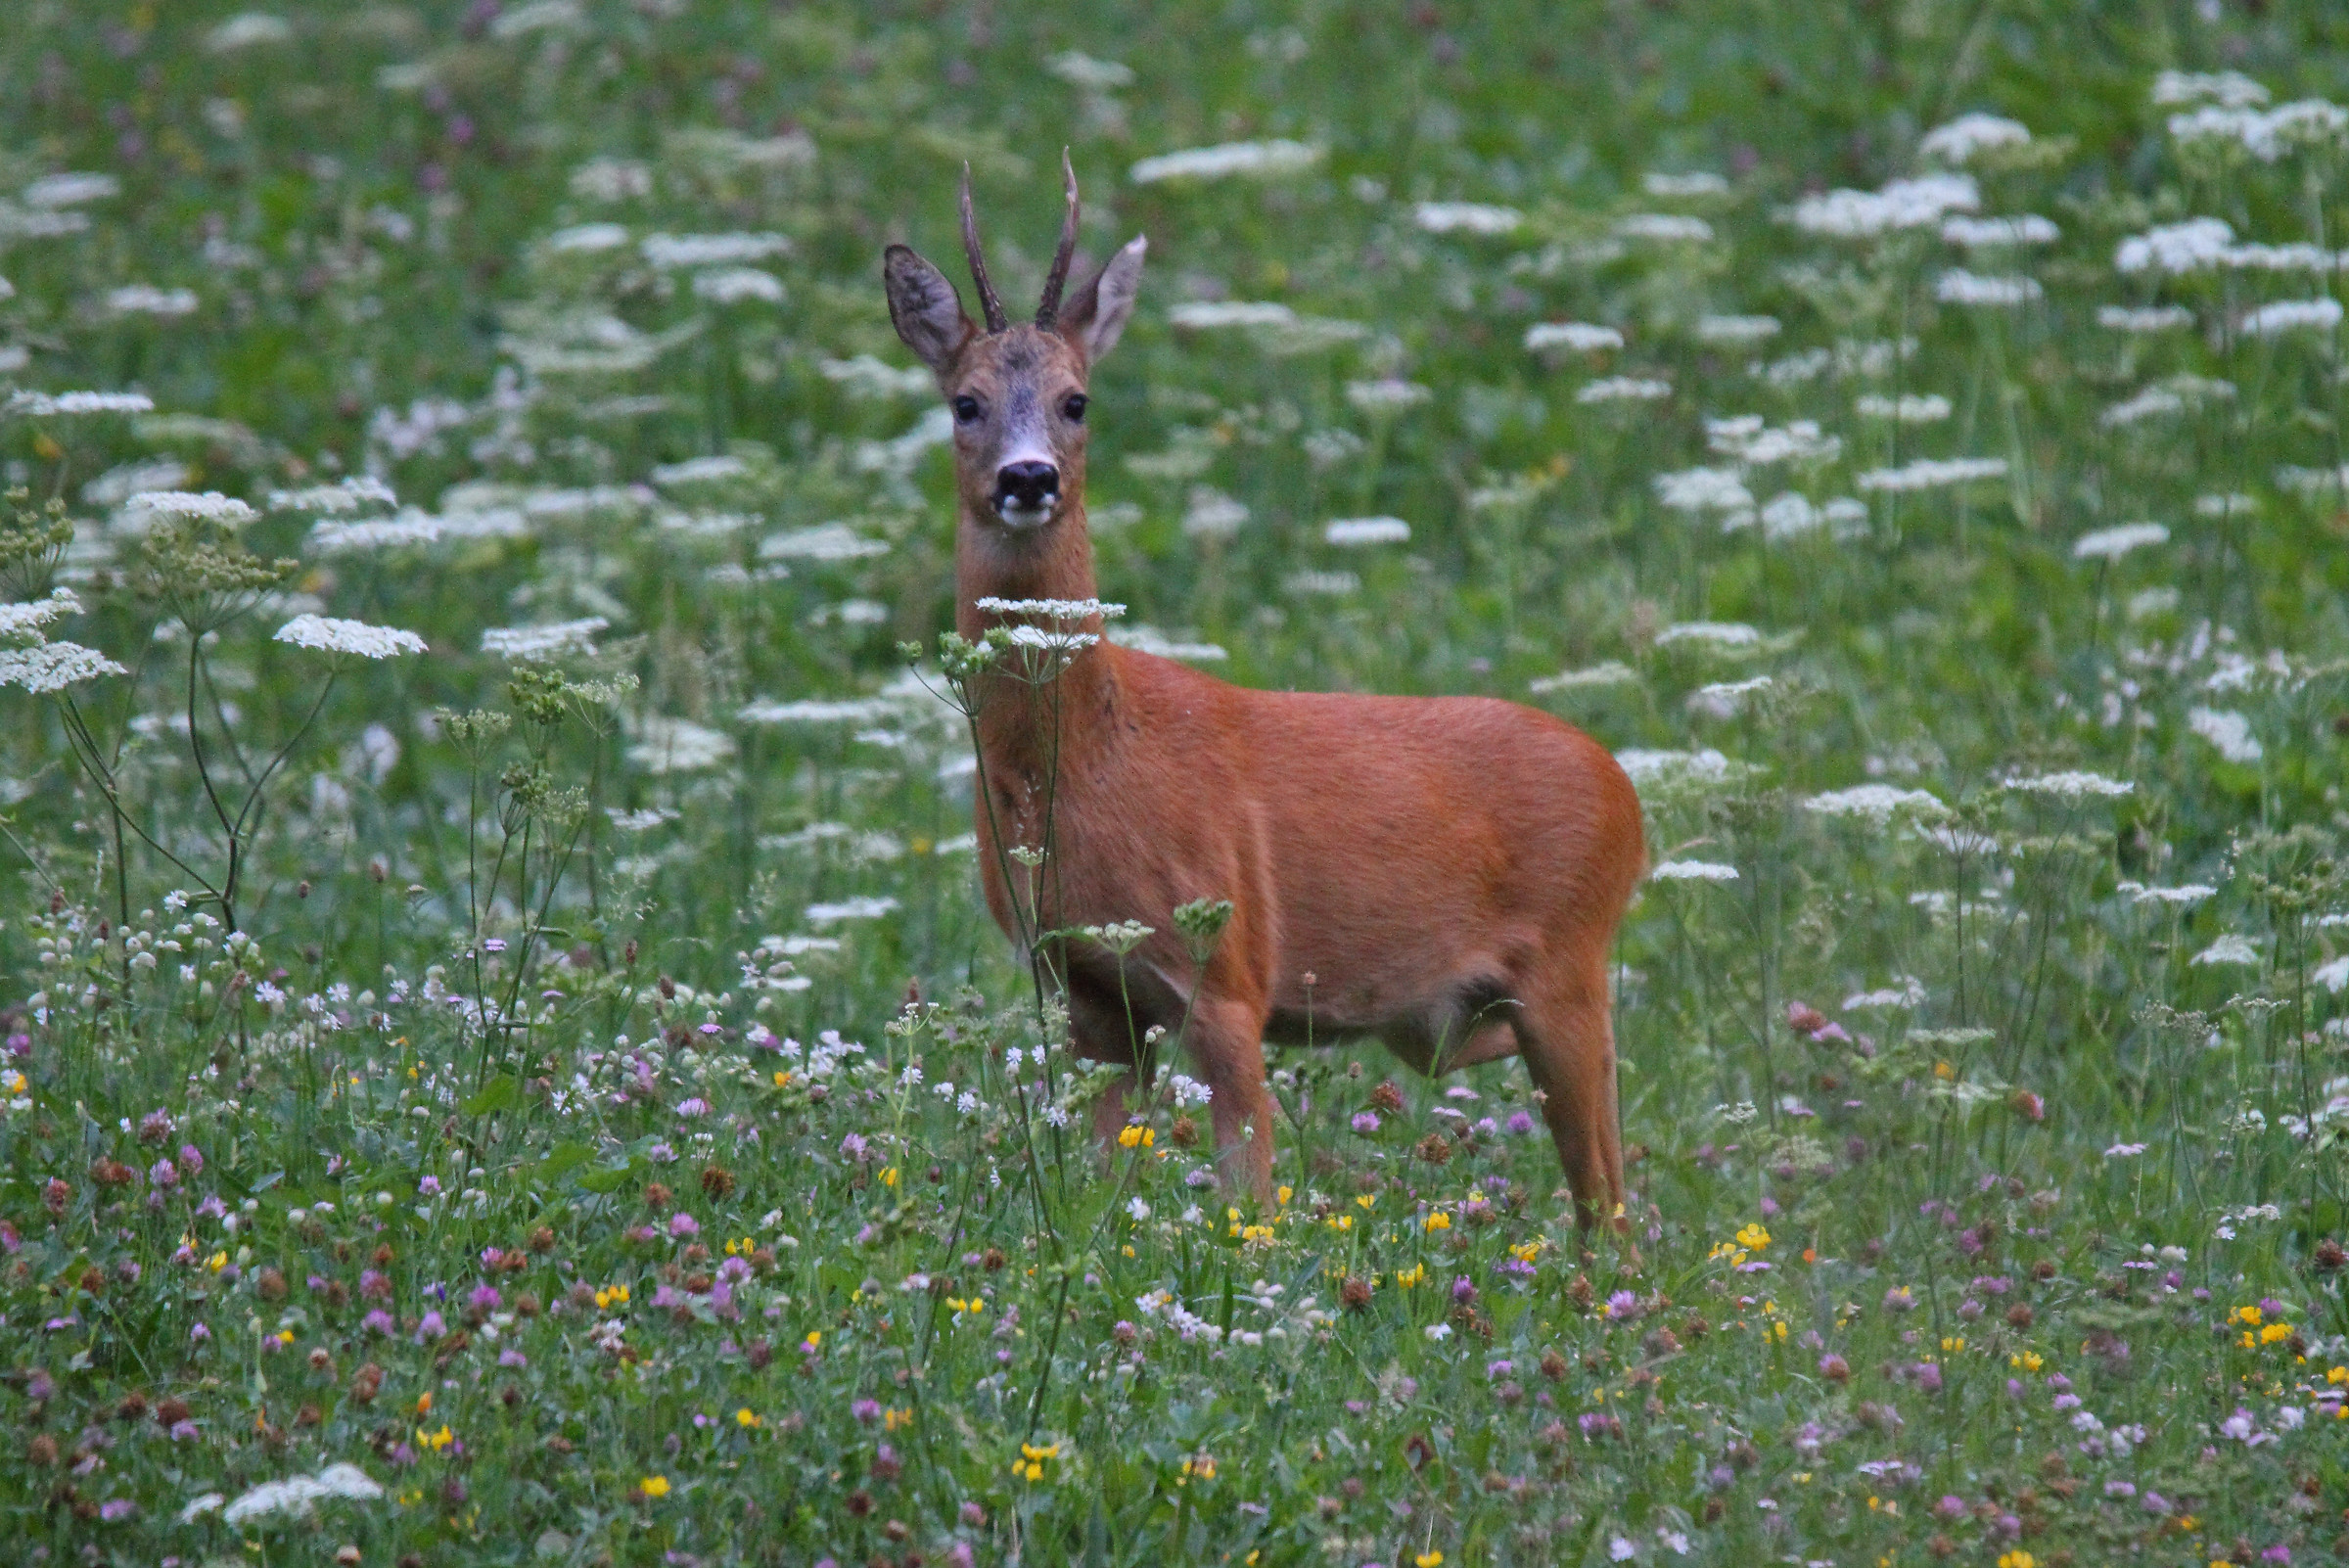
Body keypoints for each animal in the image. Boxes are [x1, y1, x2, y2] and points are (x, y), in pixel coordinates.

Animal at [881, 157, 1647, 1238]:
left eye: (1078, 401)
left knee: (1610, 1205)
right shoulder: (1090, 993)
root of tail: (1627, 794)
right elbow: (1098, 1187)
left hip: (1570, 963)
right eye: (963, 402)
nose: (1027, 478)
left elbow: (1250, 1206)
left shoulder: (1230, 974)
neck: (1086, 765)